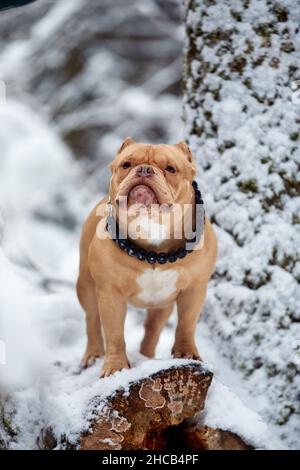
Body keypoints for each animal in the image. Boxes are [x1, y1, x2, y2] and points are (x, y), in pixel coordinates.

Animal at [76, 138, 217, 376]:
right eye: (126, 164)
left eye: (170, 169)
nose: (143, 169)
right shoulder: (110, 293)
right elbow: (114, 333)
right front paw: (115, 367)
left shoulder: (194, 289)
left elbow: (186, 324)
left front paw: (186, 353)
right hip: (86, 285)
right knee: (92, 319)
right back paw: (93, 355)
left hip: (161, 305)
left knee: (152, 330)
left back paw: (147, 357)